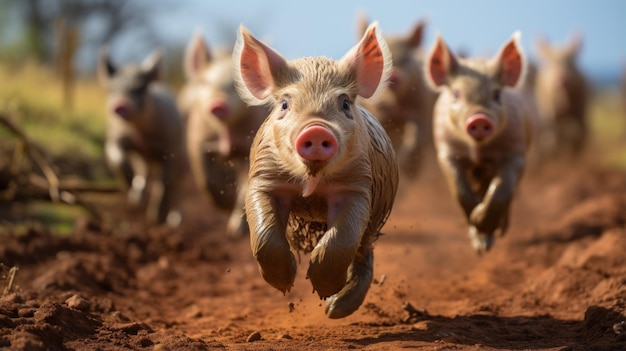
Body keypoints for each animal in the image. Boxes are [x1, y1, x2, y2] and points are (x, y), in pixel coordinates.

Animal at [97, 47, 184, 228]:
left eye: (139, 88)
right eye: (112, 89)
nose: (120, 105)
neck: (139, 131)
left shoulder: (170, 148)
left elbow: (165, 181)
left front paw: (156, 219)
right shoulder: (116, 136)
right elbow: (115, 155)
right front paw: (129, 185)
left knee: (175, 187)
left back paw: (170, 221)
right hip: (141, 159)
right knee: (143, 172)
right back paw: (136, 201)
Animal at [176, 31, 266, 236]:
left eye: (235, 85)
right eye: (205, 83)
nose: (218, 104)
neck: (226, 135)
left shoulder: (248, 149)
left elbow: (245, 187)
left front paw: (235, 231)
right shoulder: (198, 142)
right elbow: (206, 180)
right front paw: (225, 204)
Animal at [232, 22, 398, 320]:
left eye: (344, 104)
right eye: (285, 104)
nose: (317, 129)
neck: (312, 186)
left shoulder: (359, 185)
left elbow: (341, 239)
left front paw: (324, 293)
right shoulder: (264, 177)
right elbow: (264, 235)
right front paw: (285, 284)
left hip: (376, 218)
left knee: (364, 252)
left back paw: (336, 309)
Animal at [422, 31, 528, 254]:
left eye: (496, 94)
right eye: (456, 94)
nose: (479, 118)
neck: (478, 151)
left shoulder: (515, 151)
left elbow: (502, 187)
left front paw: (481, 221)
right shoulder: (447, 150)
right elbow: (459, 188)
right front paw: (476, 225)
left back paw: (497, 234)